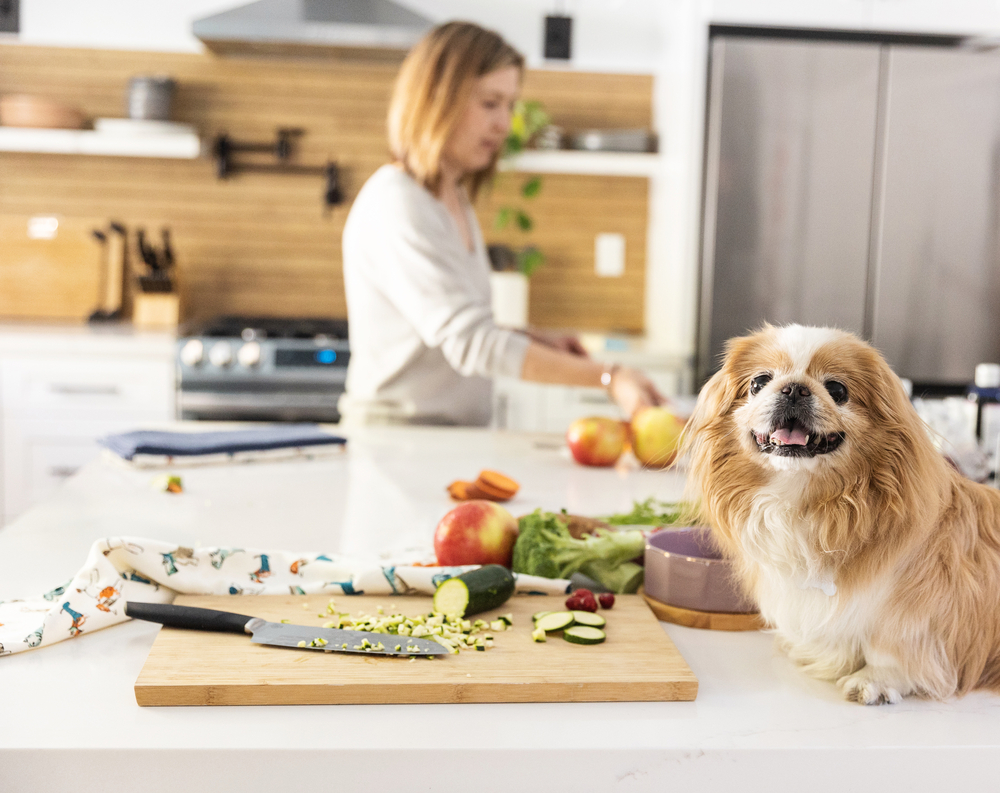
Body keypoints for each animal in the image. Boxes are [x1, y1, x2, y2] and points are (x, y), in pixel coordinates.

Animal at [684, 324, 1000, 704]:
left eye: (837, 390)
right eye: (759, 382)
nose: (794, 388)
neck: (800, 499)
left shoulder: (919, 606)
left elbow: (890, 648)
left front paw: (875, 680)